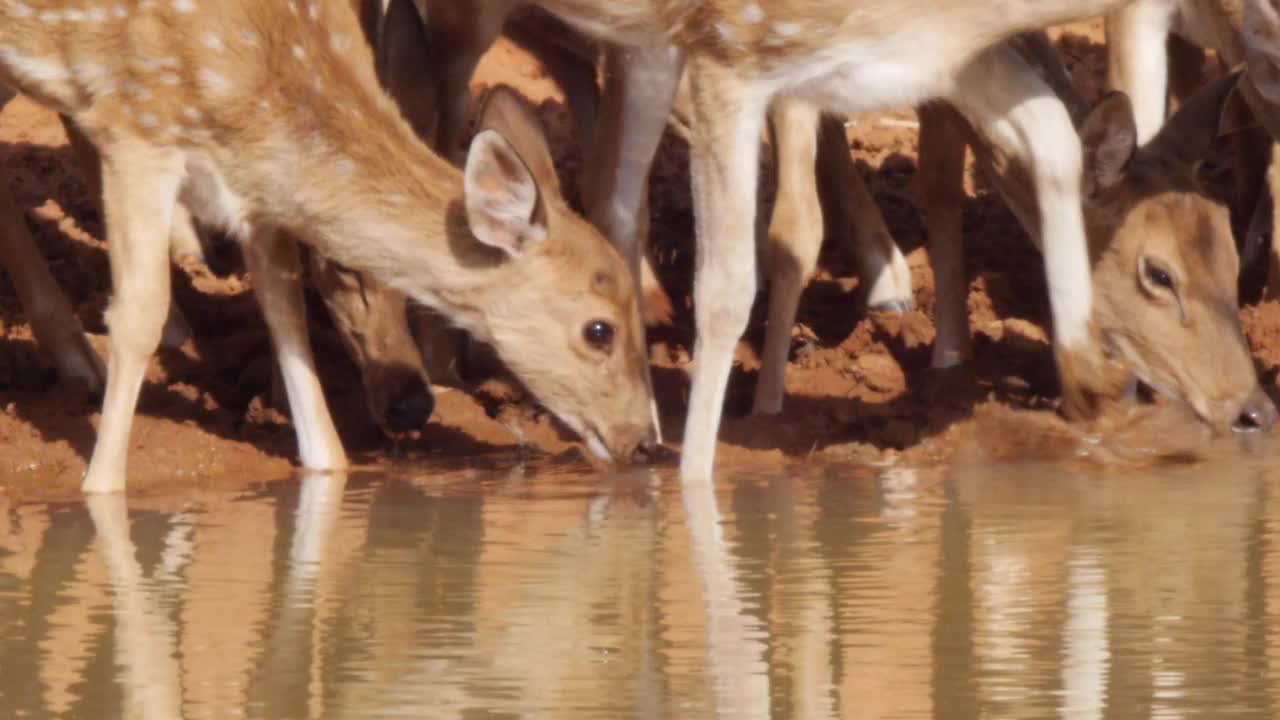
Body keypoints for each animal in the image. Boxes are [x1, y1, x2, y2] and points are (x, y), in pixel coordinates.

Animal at [0, 0, 655, 491]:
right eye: (599, 330)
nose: (644, 439)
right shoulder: (137, 124)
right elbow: (139, 315)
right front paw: (99, 489)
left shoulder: (254, 191)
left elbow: (286, 312)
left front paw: (328, 466)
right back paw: (80, 361)